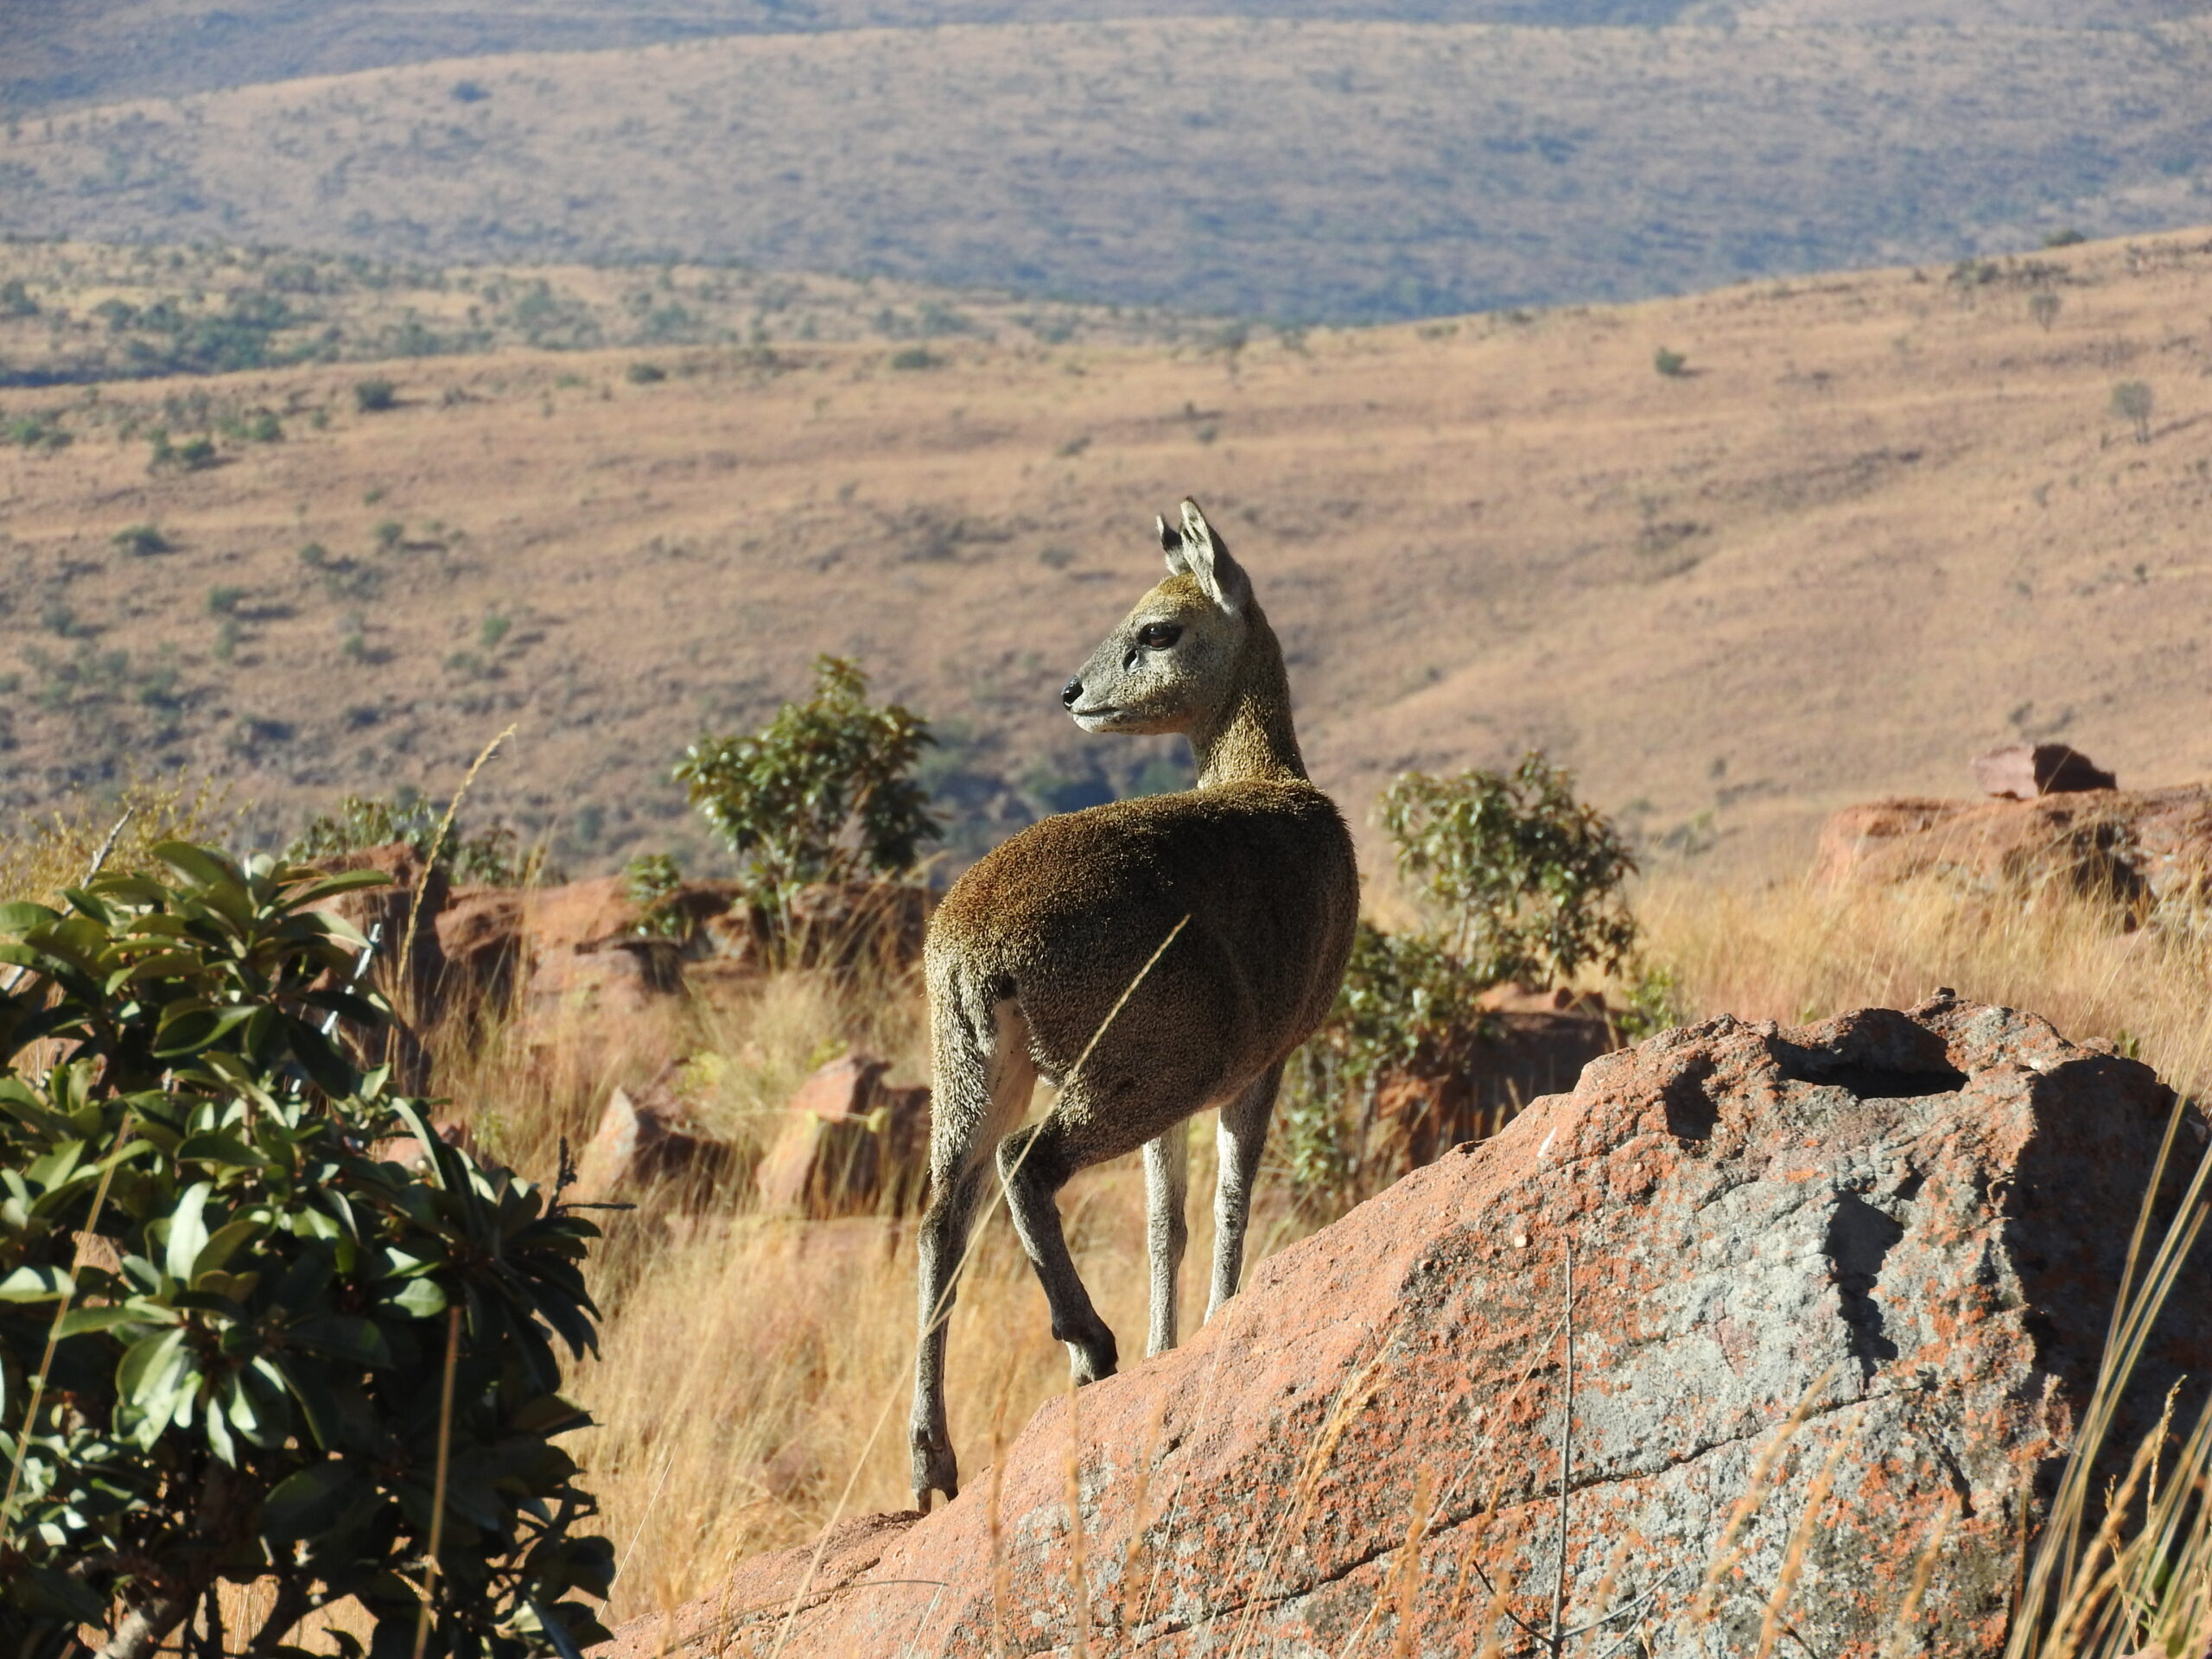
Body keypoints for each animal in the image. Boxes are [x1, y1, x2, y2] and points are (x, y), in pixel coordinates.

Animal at [906, 499, 1353, 1513]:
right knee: (1024, 1166)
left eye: (1157, 629)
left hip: (973, 1075)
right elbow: (1227, 1199)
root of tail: (977, 951)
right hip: (1133, 1070)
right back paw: (1087, 1346)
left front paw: (1166, 1344)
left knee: (942, 1215)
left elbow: (1163, 1220)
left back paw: (931, 1461)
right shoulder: (1259, 1065)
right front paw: (1213, 1321)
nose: (1073, 692)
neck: (1268, 776)